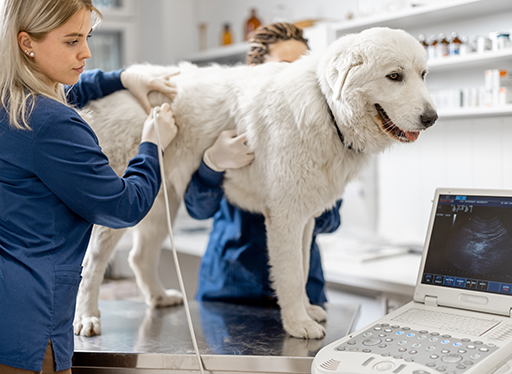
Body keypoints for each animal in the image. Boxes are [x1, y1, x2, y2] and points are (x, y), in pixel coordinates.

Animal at [74, 28, 438, 338]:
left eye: (422, 75)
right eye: (394, 76)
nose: (432, 118)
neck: (327, 108)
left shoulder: (305, 219)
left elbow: (303, 267)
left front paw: (307, 310)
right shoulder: (285, 217)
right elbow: (290, 274)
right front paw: (298, 323)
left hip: (161, 206)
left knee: (139, 257)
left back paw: (159, 297)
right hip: (116, 212)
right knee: (91, 265)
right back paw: (86, 317)